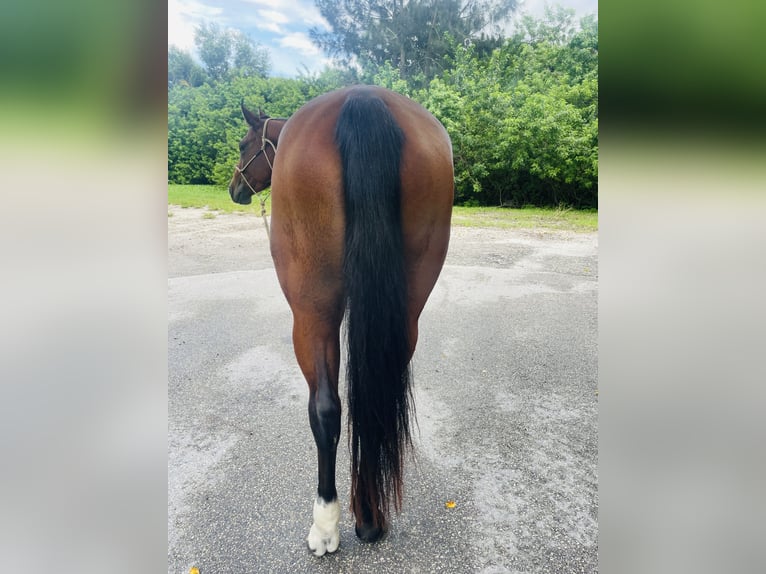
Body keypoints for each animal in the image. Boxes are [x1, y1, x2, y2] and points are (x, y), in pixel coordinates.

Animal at [229, 85, 454, 556]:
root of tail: (363, 98)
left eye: (244, 144)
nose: (235, 187)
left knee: (325, 408)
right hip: (406, 310)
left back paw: (327, 523)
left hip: (311, 311)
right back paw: (370, 516)